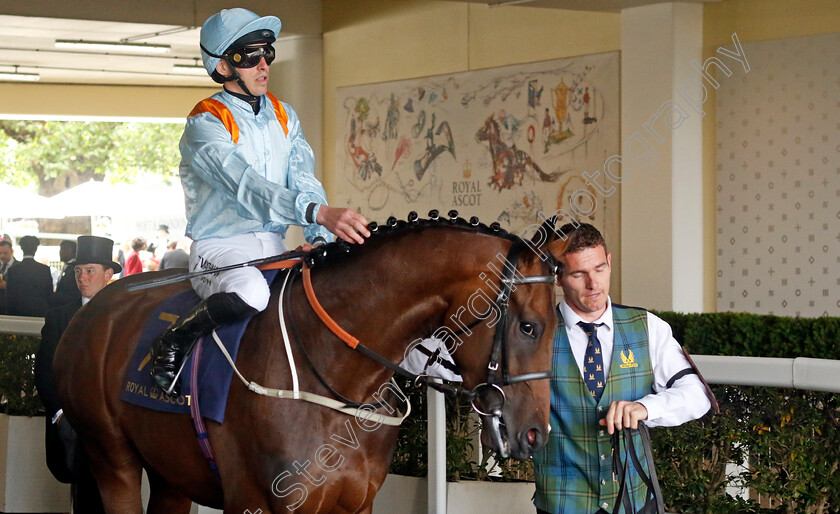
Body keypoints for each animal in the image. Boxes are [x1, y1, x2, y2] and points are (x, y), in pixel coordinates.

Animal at [50, 210, 564, 510]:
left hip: (170, 473)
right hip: (112, 458)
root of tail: (92, 308)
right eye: (528, 327)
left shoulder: (355, 504)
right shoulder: (263, 503)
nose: (535, 434)